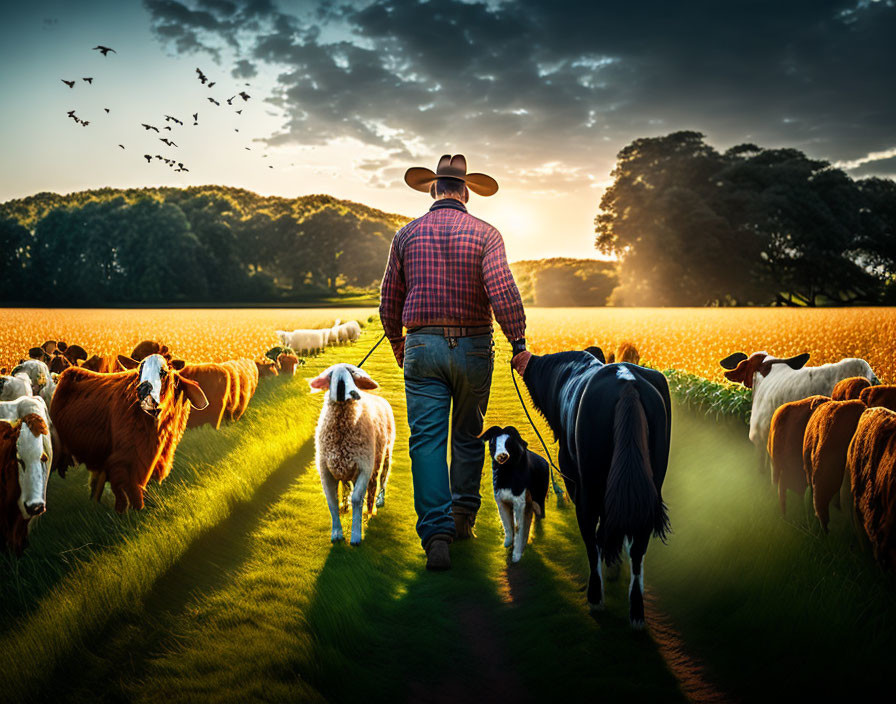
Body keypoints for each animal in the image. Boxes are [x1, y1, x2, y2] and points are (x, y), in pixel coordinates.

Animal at [310, 364, 394, 544]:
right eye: (331, 375)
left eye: (353, 374)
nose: (343, 388)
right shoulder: (325, 470)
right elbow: (332, 501)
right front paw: (337, 533)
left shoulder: (364, 467)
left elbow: (357, 499)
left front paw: (356, 535)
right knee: (351, 486)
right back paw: (347, 506)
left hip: (385, 454)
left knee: (381, 479)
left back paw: (376, 503)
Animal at [480, 426, 548, 564]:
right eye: (493, 442)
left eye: (509, 442)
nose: (502, 455)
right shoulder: (500, 500)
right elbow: (507, 524)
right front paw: (507, 544)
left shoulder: (520, 502)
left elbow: (518, 527)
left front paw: (516, 556)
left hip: (539, 500)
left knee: (539, 516)